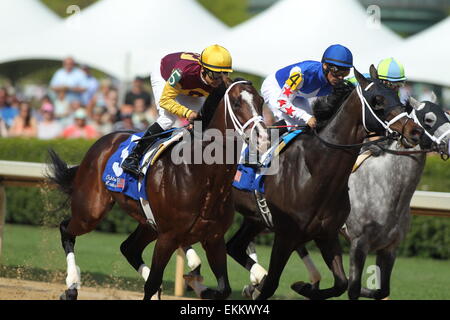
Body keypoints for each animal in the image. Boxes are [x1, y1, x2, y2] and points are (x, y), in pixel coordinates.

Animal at [47, 77, 268, 300]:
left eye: (261, 101)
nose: (262, 136)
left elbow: (223, 289)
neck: (202, 175)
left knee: (129, 248)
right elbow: (152, 283)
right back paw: (71, 286)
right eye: (237, 103)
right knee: (66, 229)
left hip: (148, 223)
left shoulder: (214, 239)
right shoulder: (168, 237)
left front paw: (202, 285)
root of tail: (104, 140)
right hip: (91, 211)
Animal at [182, 66, 422, 302]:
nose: (414, 131)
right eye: (377, 100)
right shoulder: (286, 236)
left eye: (398, 98)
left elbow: (341, 283)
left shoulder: (327, 234)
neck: (315, 169)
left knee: (235, 246)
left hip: (256, 218)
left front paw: (303, 287)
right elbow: (271, 285)